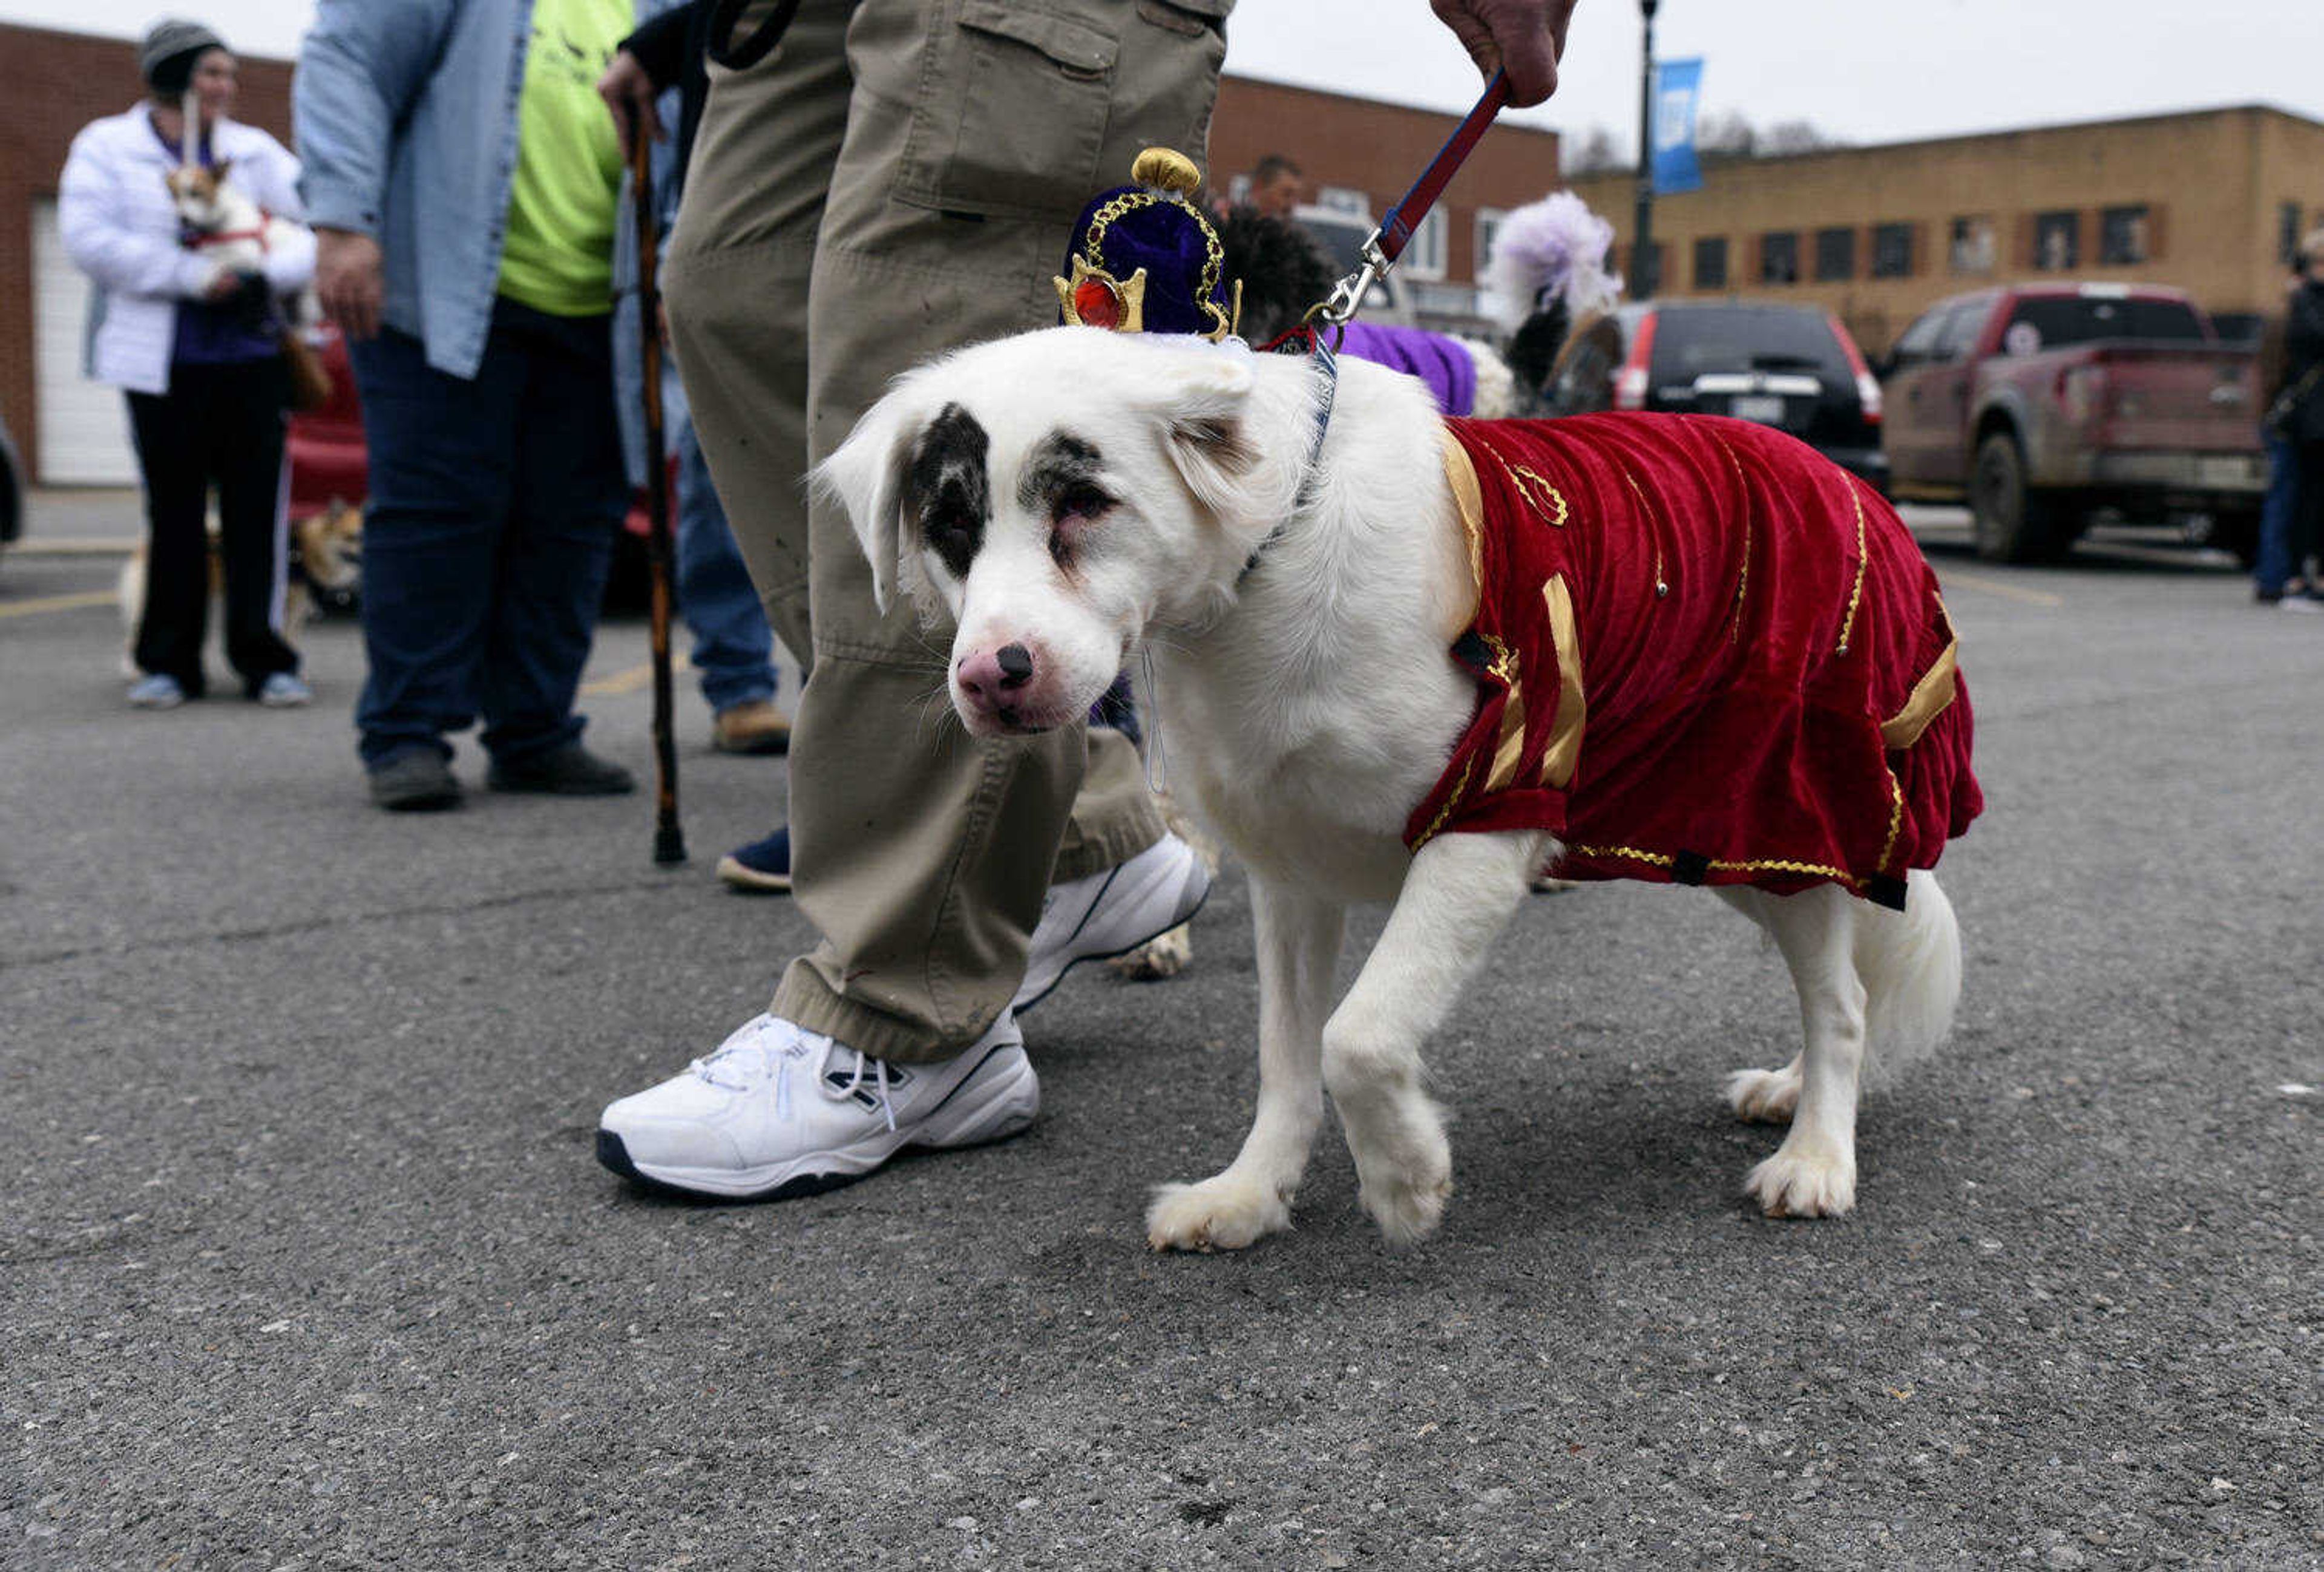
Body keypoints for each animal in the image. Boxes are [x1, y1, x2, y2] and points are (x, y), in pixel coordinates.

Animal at [818, 327, 1980, 1254]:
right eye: (950, 525)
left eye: (1086, 502)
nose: (992, 677)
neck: (1267, 559)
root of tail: (1842, 476)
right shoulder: (1290, 870)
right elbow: (1288, 1053)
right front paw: (1251, 1192)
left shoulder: (1492, 815)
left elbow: (1360, 1036)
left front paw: (1406, 1176)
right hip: (1721, 827)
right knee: (1839, 985)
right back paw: (1793, 1093)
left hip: (1799, 804)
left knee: (1842, 1001)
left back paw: (1818, 1152)